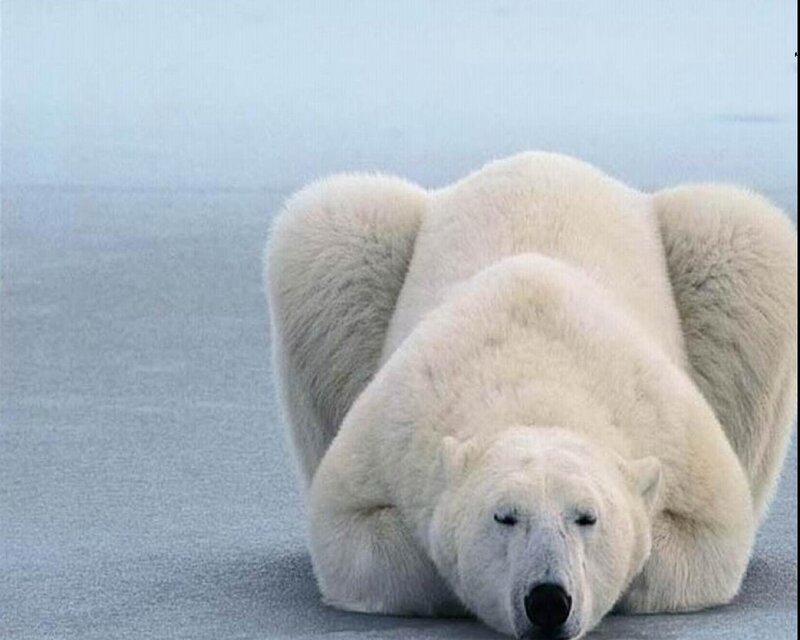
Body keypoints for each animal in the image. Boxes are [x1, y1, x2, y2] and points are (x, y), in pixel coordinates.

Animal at [265, 152, 797, 639]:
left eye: (587, 516)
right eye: (505, 516)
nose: (547, 599)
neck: (538, 382)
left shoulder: (671, 429)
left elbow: (709, 537)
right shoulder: (396, 426)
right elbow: (351, 532)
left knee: (744, 237)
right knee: (331, 229)